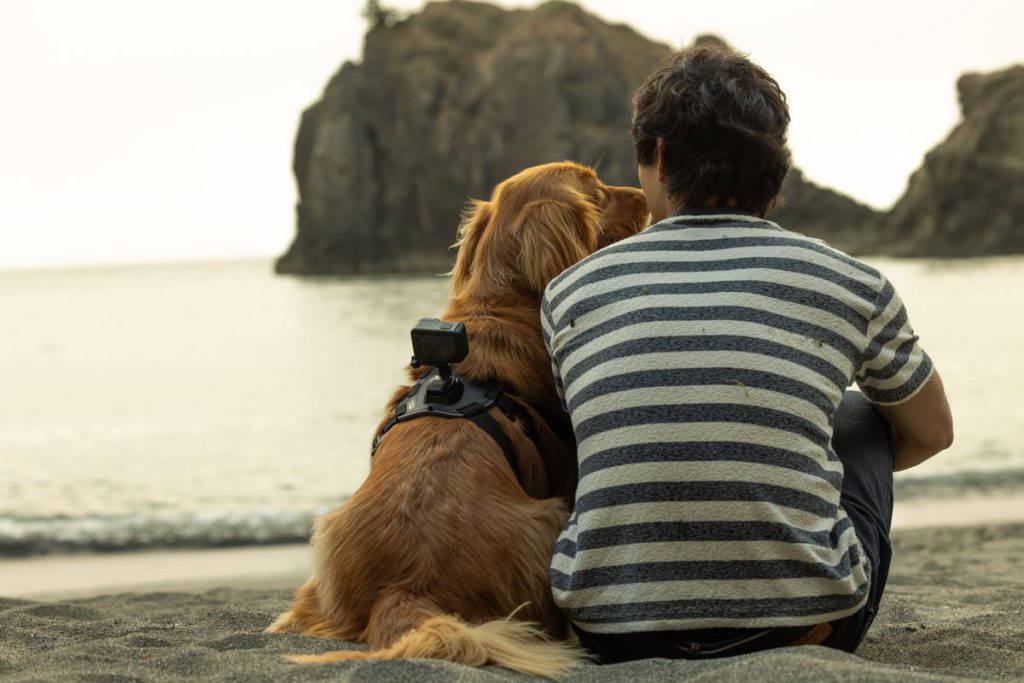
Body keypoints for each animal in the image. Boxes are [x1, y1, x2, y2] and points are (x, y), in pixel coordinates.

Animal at [264, 161, 647, 679]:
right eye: (597, 191)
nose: (644, 195)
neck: (501, 303)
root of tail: (402, 588)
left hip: (324, 536)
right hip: (548, 517)